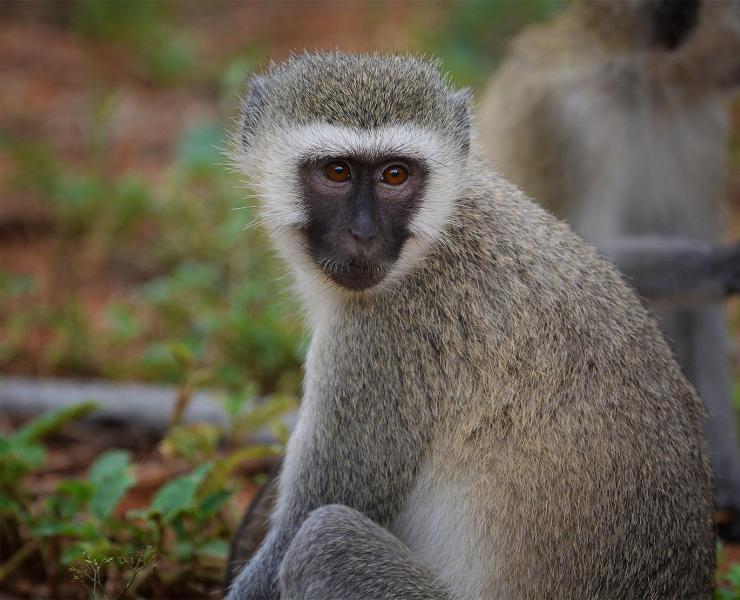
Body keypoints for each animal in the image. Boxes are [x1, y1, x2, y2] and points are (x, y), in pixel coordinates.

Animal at [225, 52, 712, 600]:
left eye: (395, 175)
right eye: (337, 170)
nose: (363, 234)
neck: (437, 237)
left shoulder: (384, 343)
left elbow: (302, 526)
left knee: (323, 539)